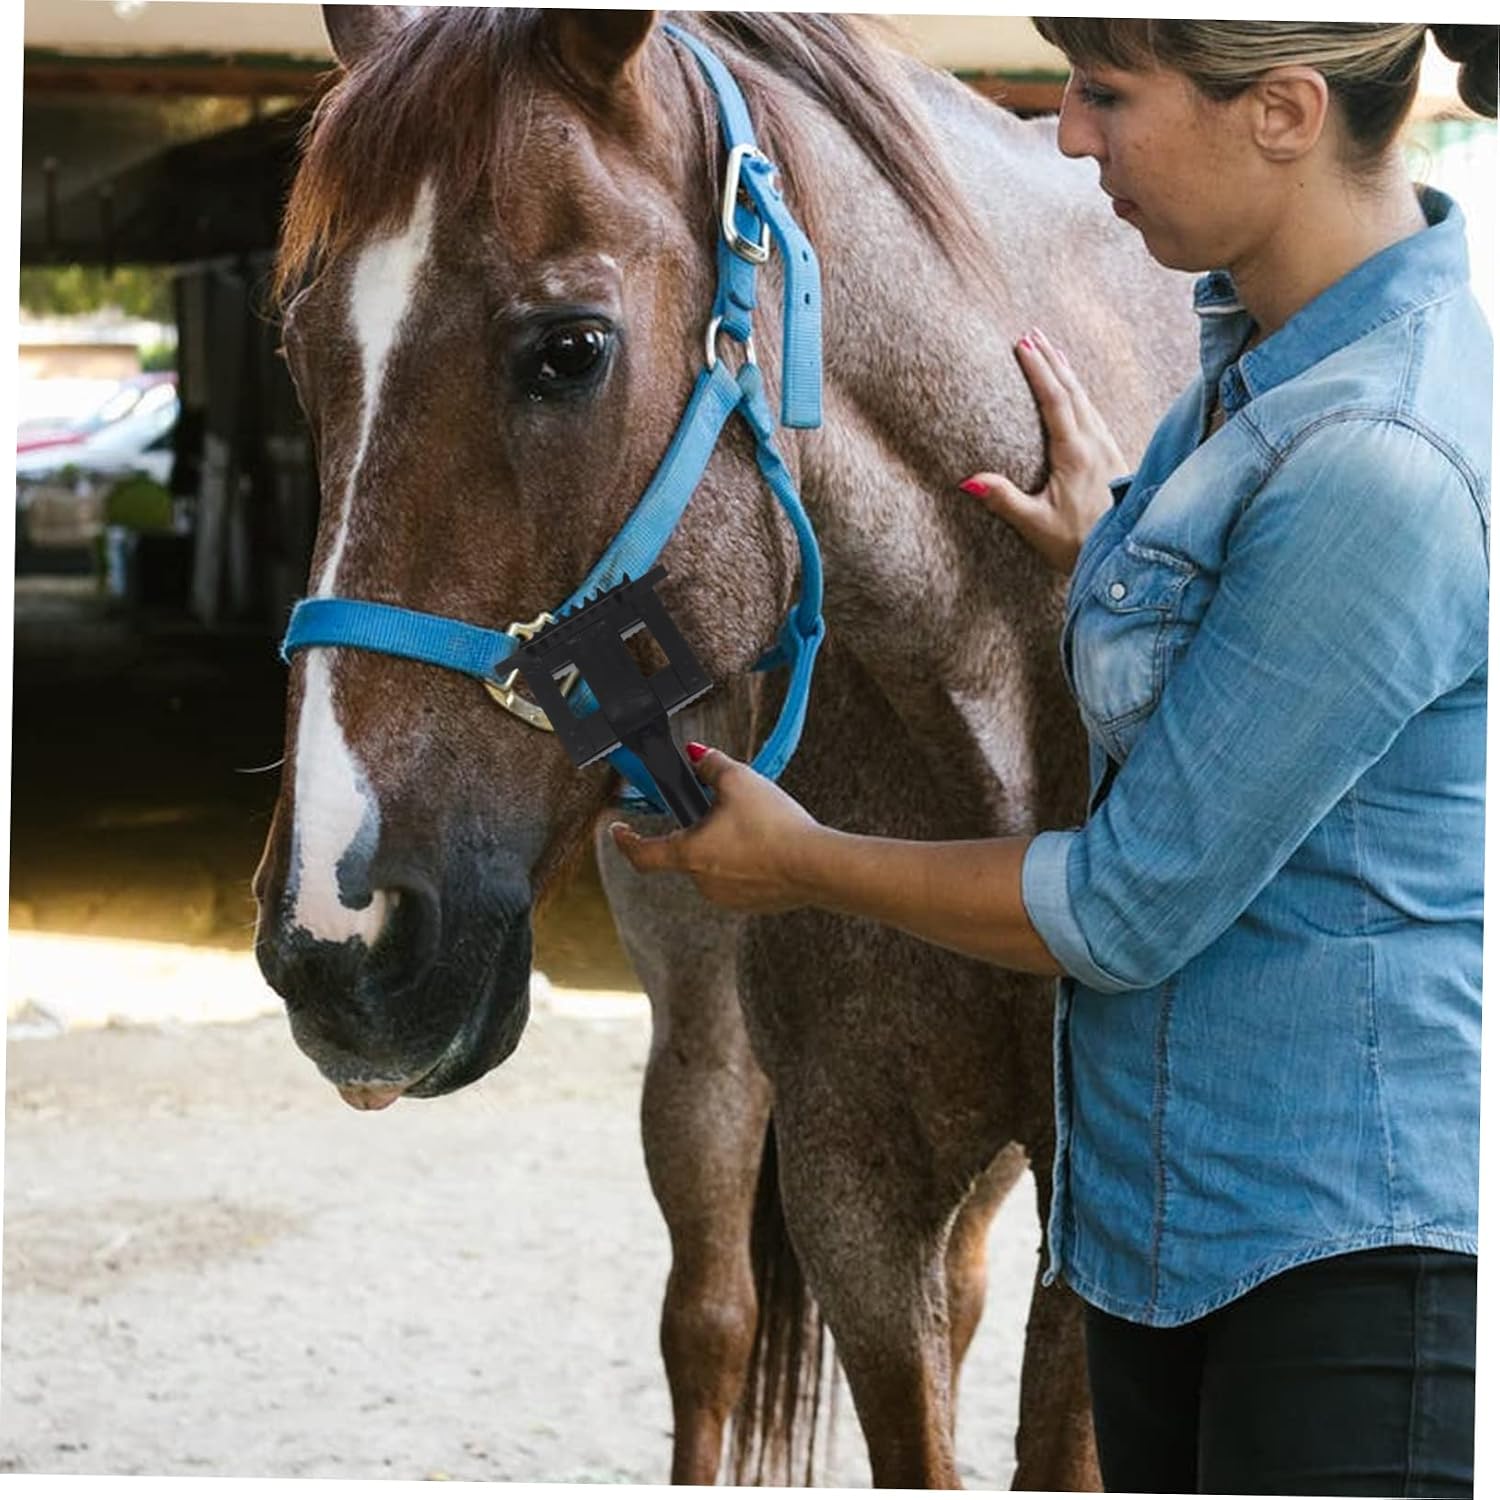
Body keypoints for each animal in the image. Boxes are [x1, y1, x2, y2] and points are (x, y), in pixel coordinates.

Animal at [252, 7, 1197, 1487]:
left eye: (569, 349)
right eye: (299, 355)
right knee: (709, 1318)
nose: (332, 939)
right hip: (701, 1050)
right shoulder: (853, 1184)